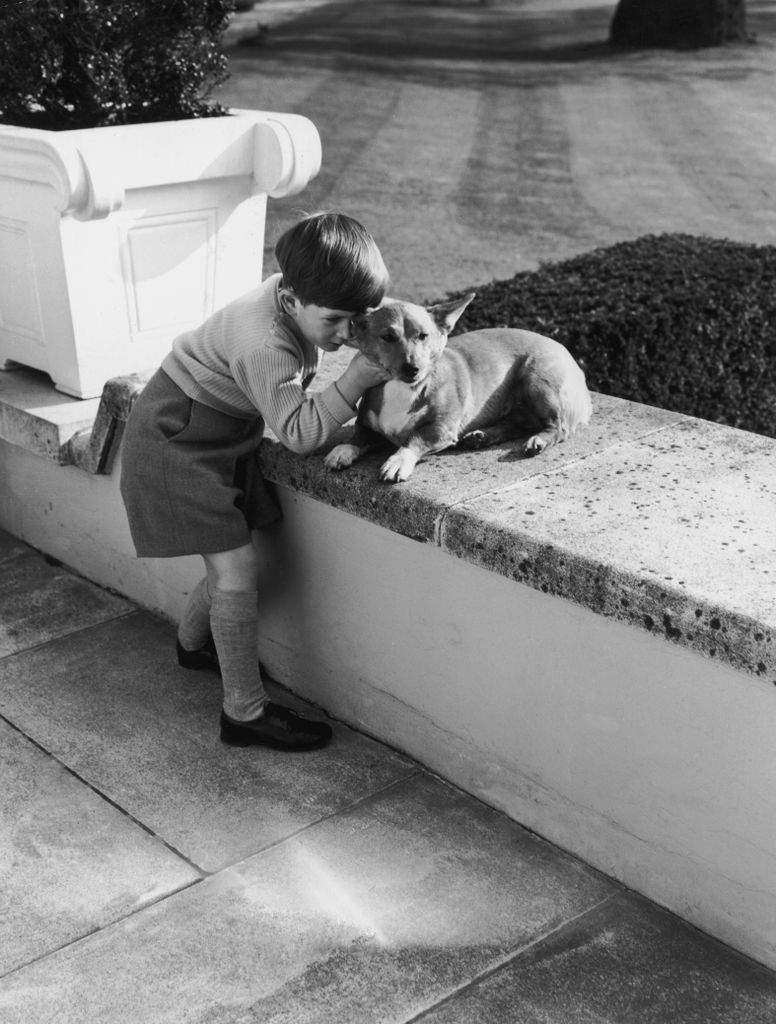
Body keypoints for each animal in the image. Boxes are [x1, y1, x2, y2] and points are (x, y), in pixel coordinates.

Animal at [325, 292, 593, 483]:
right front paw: (342, 450)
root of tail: (575, 364)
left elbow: (414, 438)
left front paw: (398, 461)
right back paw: (482, 436)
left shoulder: (441, 428)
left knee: (558, 428)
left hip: (537, 380)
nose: (413, 368)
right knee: (516, 423)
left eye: (423, 336)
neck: (404, 389)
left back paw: (537, 440)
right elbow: (358, 435)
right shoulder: (366, 424)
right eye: (387, 337)